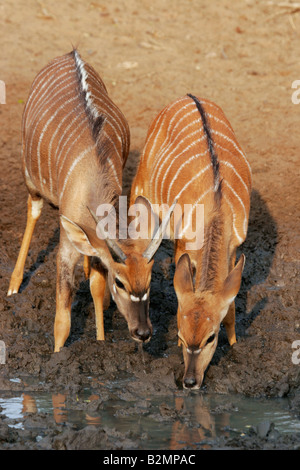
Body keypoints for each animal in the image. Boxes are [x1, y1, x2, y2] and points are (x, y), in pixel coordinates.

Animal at [7, 50, 175, 352]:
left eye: (148, 281)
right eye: (120, 282)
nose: (143, 332)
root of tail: (70, 54)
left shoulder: (99, 245)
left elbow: (96, 288)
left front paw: (100, 340)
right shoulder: (66, 246)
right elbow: (62, 320)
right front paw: (58, 354)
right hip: (31, 180)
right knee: (33, 211)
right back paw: (14, 284)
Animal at [130, 94, 252, 390]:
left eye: (211, 337)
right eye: (181, 336)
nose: (189, 381)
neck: (217, 206)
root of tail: (187, 96)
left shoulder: (234, 248)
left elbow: (230, 305)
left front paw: (235, 346)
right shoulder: (185, 246)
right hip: (141, 188)